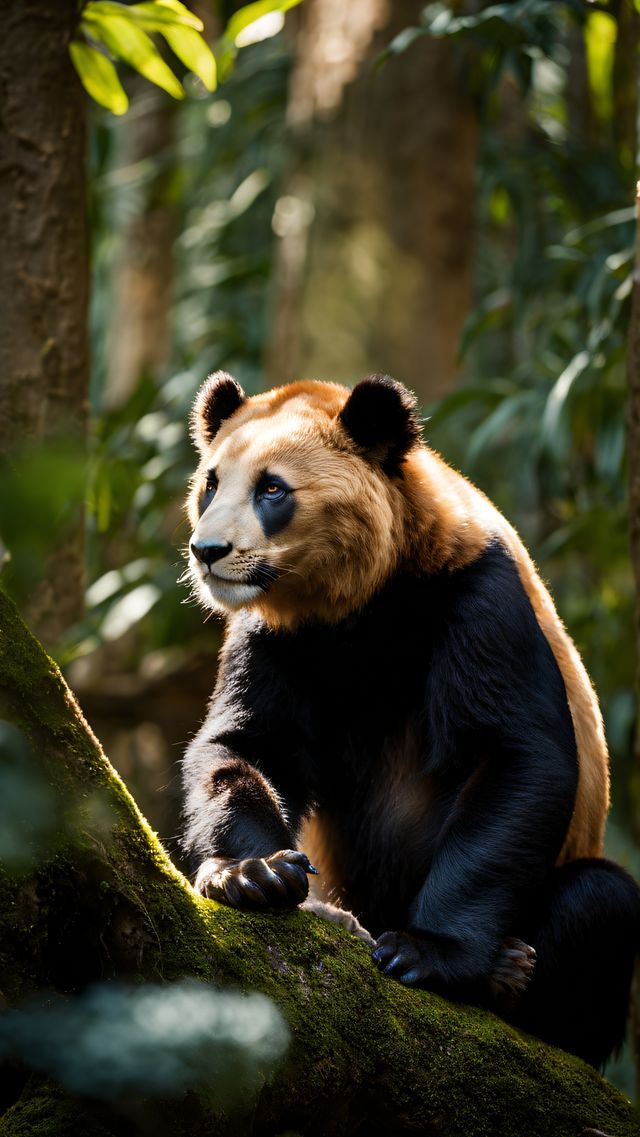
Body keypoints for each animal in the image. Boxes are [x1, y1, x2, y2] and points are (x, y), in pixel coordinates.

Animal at [181, 370, 640, 1064]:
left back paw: (508, 973)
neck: (362, 599)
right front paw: (252, 874)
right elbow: (245, 745)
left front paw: (429, 953)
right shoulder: (279, 634)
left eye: (272, 489)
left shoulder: (474, 592)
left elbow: (517, 757)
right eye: (211, 482)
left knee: (602, 904)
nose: (209, 552)